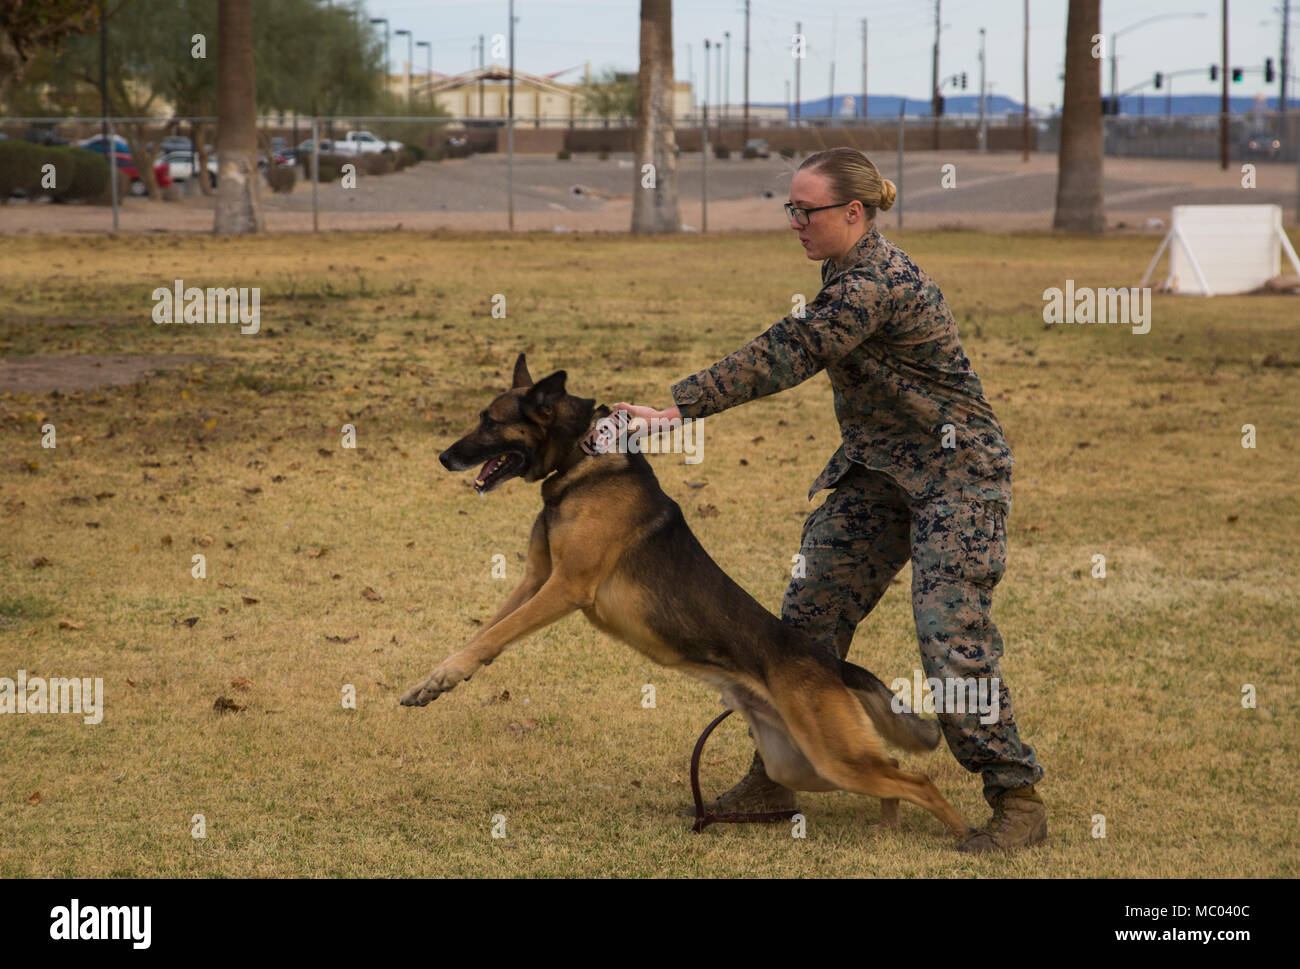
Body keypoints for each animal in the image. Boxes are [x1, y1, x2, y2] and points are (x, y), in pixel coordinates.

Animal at [400, 356, 972, 837]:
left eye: (490, 422)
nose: (444, 456)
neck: (582, 460)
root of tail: (832, 664)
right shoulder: (536, 578)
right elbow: (486, 631)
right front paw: (436, 681)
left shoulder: (564, 587)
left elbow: (495, 634)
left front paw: (446, 676)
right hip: (804, 763)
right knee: (892, 769)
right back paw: (890, 826)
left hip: (832, 757)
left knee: (919, 781)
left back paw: (969, 838)